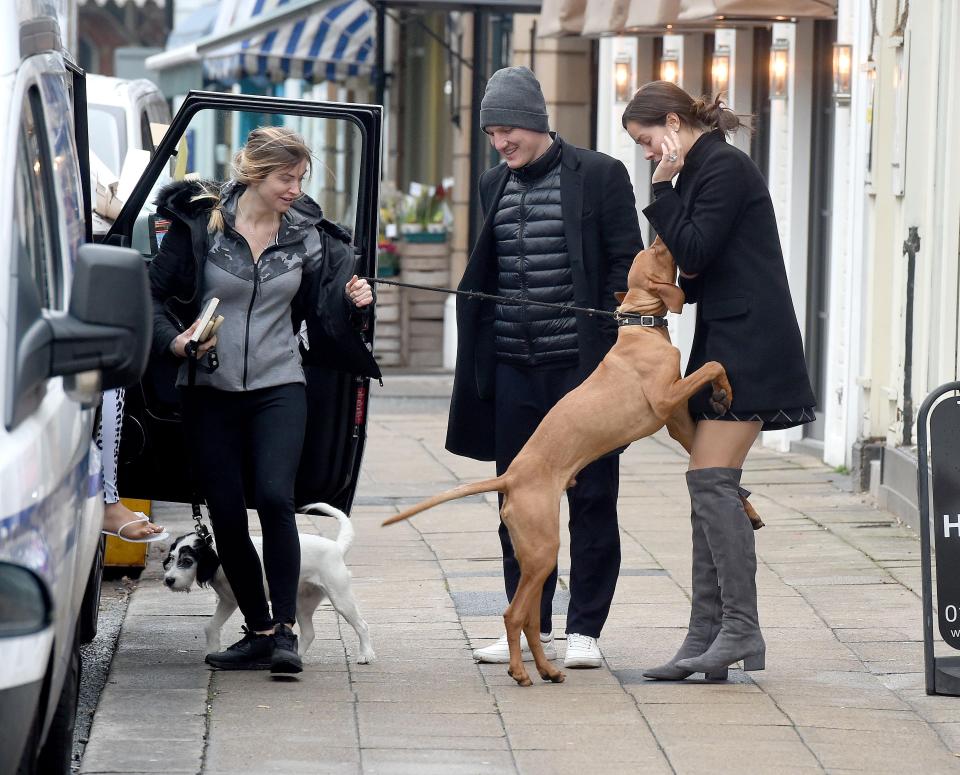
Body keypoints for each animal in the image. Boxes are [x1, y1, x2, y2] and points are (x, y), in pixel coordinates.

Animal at [165, 504, 376, 668]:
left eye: (187, 561)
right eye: (172, 558)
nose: (168, 580)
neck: (219, 556)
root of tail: (337, 547)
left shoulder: (234, 599)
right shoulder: (226, 600)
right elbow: (210, 625)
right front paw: (211, 649)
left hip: (340, 598)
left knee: (362, 625)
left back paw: (366, 655)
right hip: (302, 604)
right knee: (309, 633)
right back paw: (294, 656)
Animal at [380, 239, 756, 688]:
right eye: (659, 254)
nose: (661, 237)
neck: (640, 325)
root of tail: (510, 476)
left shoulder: (679, 423)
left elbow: (731, 477)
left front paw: (750, 507)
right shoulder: (666, 401)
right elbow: (713, 364)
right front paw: (723, 390)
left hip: (534, 552)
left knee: (527, 618)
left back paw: (545, 669)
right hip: (544, 547)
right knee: (514, 614)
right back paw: (521, 672)